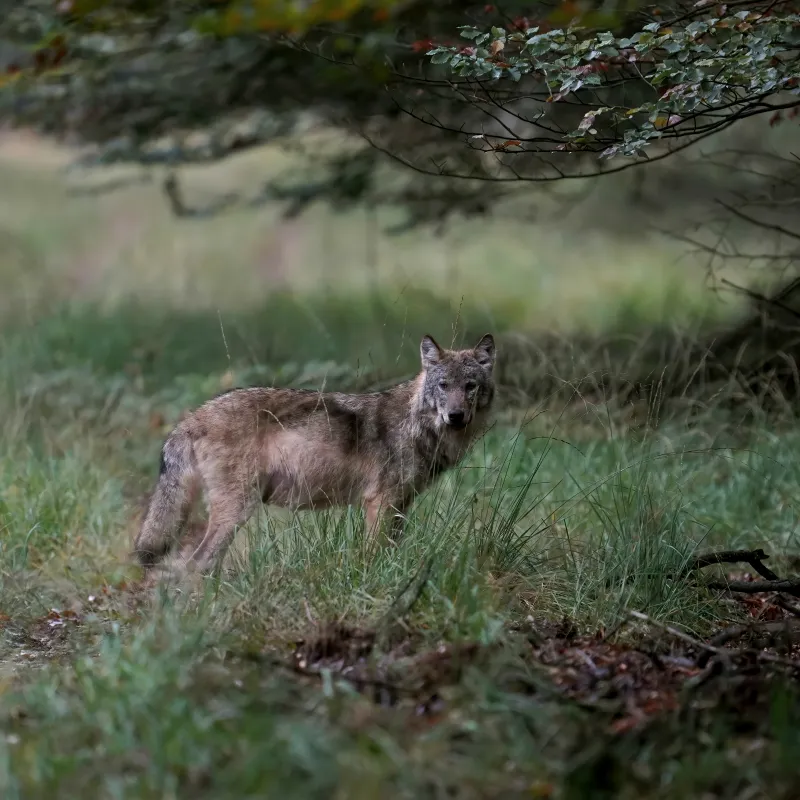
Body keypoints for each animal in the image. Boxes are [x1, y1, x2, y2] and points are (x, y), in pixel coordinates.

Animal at [134, 332, 496, 576]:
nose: (456, 416)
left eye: (470, 386)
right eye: (444, 385)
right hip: (236, 510)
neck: (417, 425)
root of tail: (192, 417)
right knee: (195, 564)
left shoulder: (401, 505)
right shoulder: (380, 502)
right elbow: (373, 555)